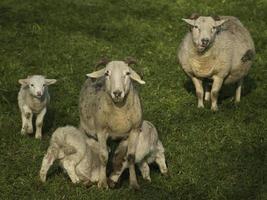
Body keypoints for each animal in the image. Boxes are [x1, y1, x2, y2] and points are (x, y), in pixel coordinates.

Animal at [79, 58, 146, 189]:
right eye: (107, 73)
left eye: (127, 73)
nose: (117, 93)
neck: (119, 112)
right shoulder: (101, 131)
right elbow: (103, 157)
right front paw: (102, 182)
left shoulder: (134, 131)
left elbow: (130, 157)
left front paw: (133, 183)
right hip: (84, 128)